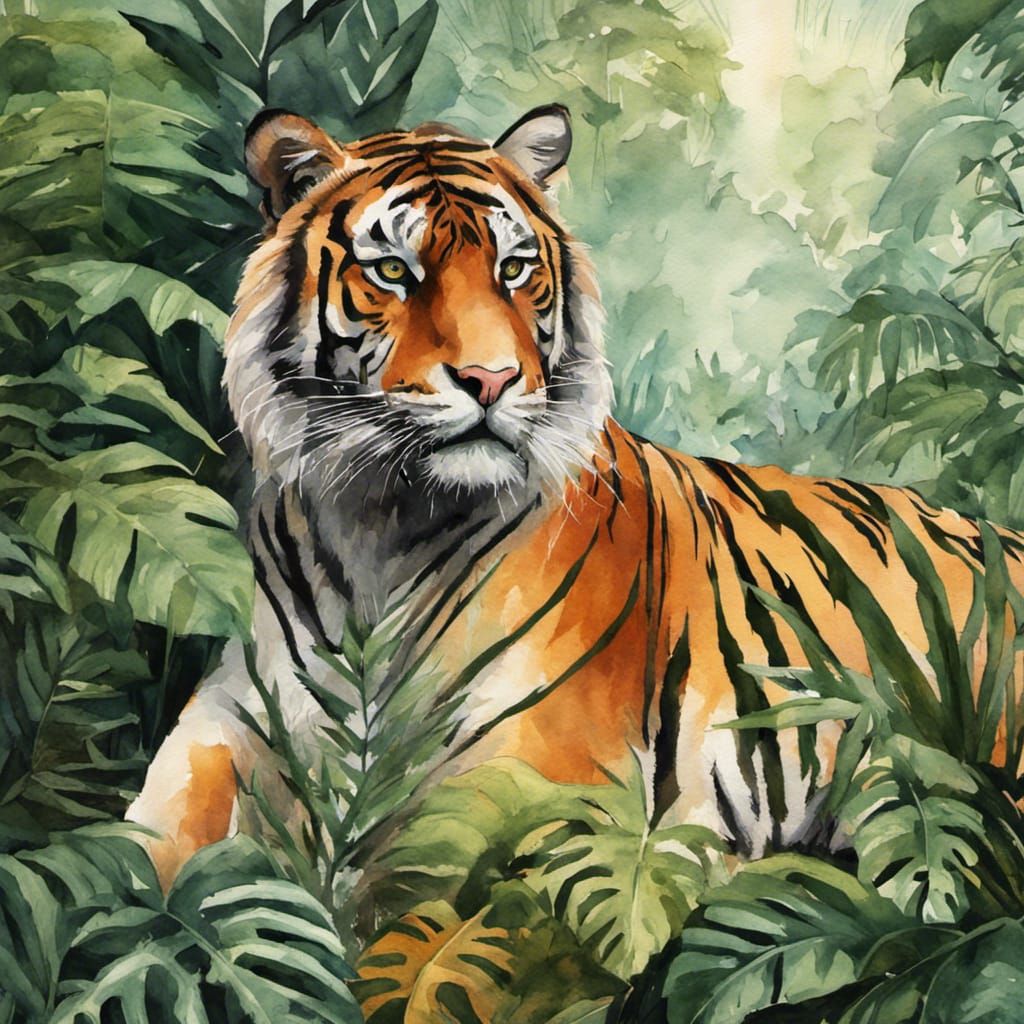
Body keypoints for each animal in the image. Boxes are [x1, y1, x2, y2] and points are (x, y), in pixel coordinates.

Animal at [128, 104, 1024, 889]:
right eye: (392, 272)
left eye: (513, 269)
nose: (490, 379)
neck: (379, 526)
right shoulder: (229, 727)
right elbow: (135, 854)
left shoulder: (529, 774)